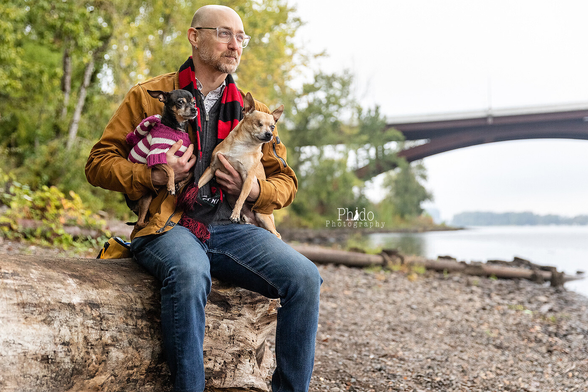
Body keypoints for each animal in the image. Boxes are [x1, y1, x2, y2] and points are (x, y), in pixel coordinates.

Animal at [125, 89, 196, 230]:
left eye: (194, 102)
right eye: (180, 102)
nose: (194, 110)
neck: (175, 128)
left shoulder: (188, 157)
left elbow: (191, 170)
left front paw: (180, 183)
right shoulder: (155, 156)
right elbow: (170, 169)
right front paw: (171, 186)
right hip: (146, 197)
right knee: (139, 223)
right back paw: (148, 224)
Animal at [198, 93, 284, 237]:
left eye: (272, 127)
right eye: (259, 124)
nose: (270, 134)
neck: (243, 145)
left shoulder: (247, 179)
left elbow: (242, 197)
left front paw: (235, 214)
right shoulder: (212, 168)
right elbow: (199, 182)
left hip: (262, 216)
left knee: (277, 234)